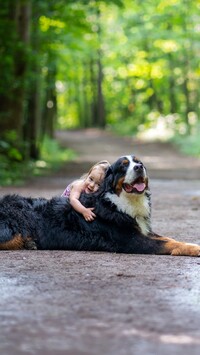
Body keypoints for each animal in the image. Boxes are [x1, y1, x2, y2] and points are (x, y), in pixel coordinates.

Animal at [0, 156, 200, 256]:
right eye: (124, 165)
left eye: (139, 162)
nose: (139, 167)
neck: (121, 202)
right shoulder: (132, 240)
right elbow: (167, 244)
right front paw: (196, 249)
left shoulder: (142, 230)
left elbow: (171, 239)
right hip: (15, 223)